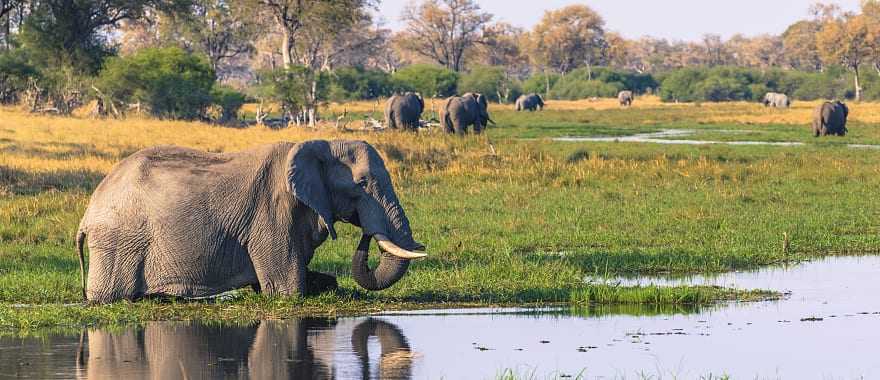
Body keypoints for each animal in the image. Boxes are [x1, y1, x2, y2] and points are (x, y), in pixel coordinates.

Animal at [77, 140, 428, 302]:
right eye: (363, 183)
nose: (366, 232)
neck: (317, 144)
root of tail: (88, 213)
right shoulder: (271, 214)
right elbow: (288, 290)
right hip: (118, 241)